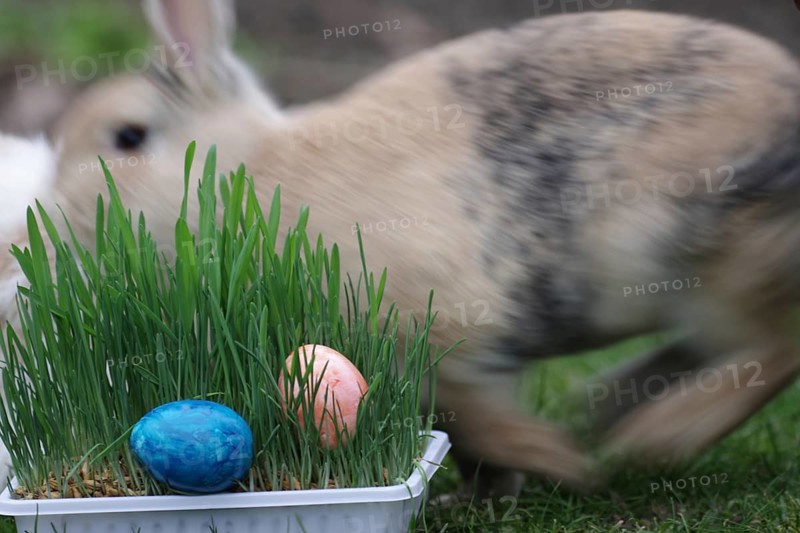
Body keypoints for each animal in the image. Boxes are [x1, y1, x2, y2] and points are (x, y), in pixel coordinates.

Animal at [48, 0, 800, 497]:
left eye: (127, 137)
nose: (50, 225)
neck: (256, 174)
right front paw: (503, 487)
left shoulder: (444, 340)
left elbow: (480, 417)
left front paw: (559, 465)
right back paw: (612, 404)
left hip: (701, 245)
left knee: (773, 346)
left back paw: (651, 441)